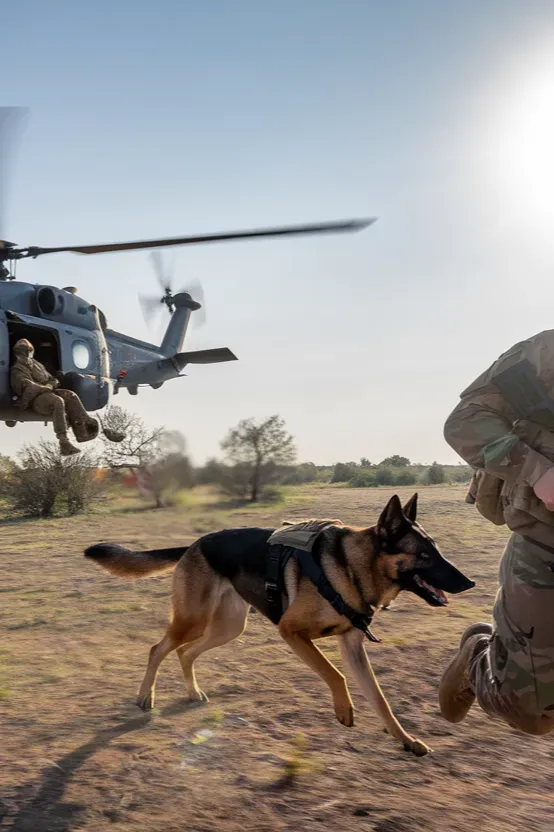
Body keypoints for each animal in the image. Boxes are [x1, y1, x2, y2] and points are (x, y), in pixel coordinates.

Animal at [85, 498, 470, 756]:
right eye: (424, 555)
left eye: (436, 549)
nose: (470, 583)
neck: (351, 567)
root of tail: (195, 544)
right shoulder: (292, 632)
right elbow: (335, 675)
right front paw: (344, 710)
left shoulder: (351, 646)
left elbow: (380, 698)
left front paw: (405, 739)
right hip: (193, 620)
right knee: (159, 648)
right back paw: (145, 697)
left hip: (228, 627)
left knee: (185, 652)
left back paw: (193, 692)